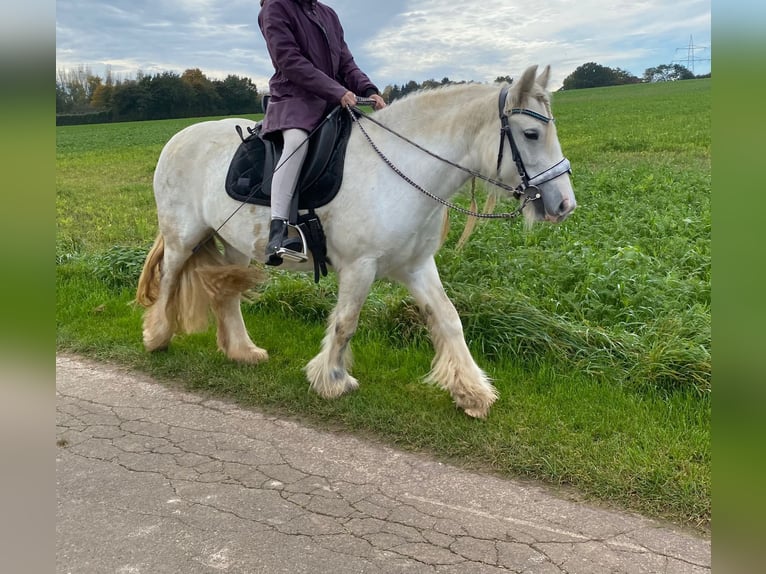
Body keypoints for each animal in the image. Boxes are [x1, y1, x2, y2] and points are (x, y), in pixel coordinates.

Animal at [136, 65, 576, 418]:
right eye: (532, 133)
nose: (564, 204)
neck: (401, 170)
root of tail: (177, 138)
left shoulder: (417, 266)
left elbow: (449, 319)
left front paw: (471, 393)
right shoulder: (359, 266)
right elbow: (346, 322)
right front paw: (331, 380)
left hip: (237, 247)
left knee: (226, 294)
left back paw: (243, 352)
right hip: (182, 237)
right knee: (170, 279)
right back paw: (157, 337)